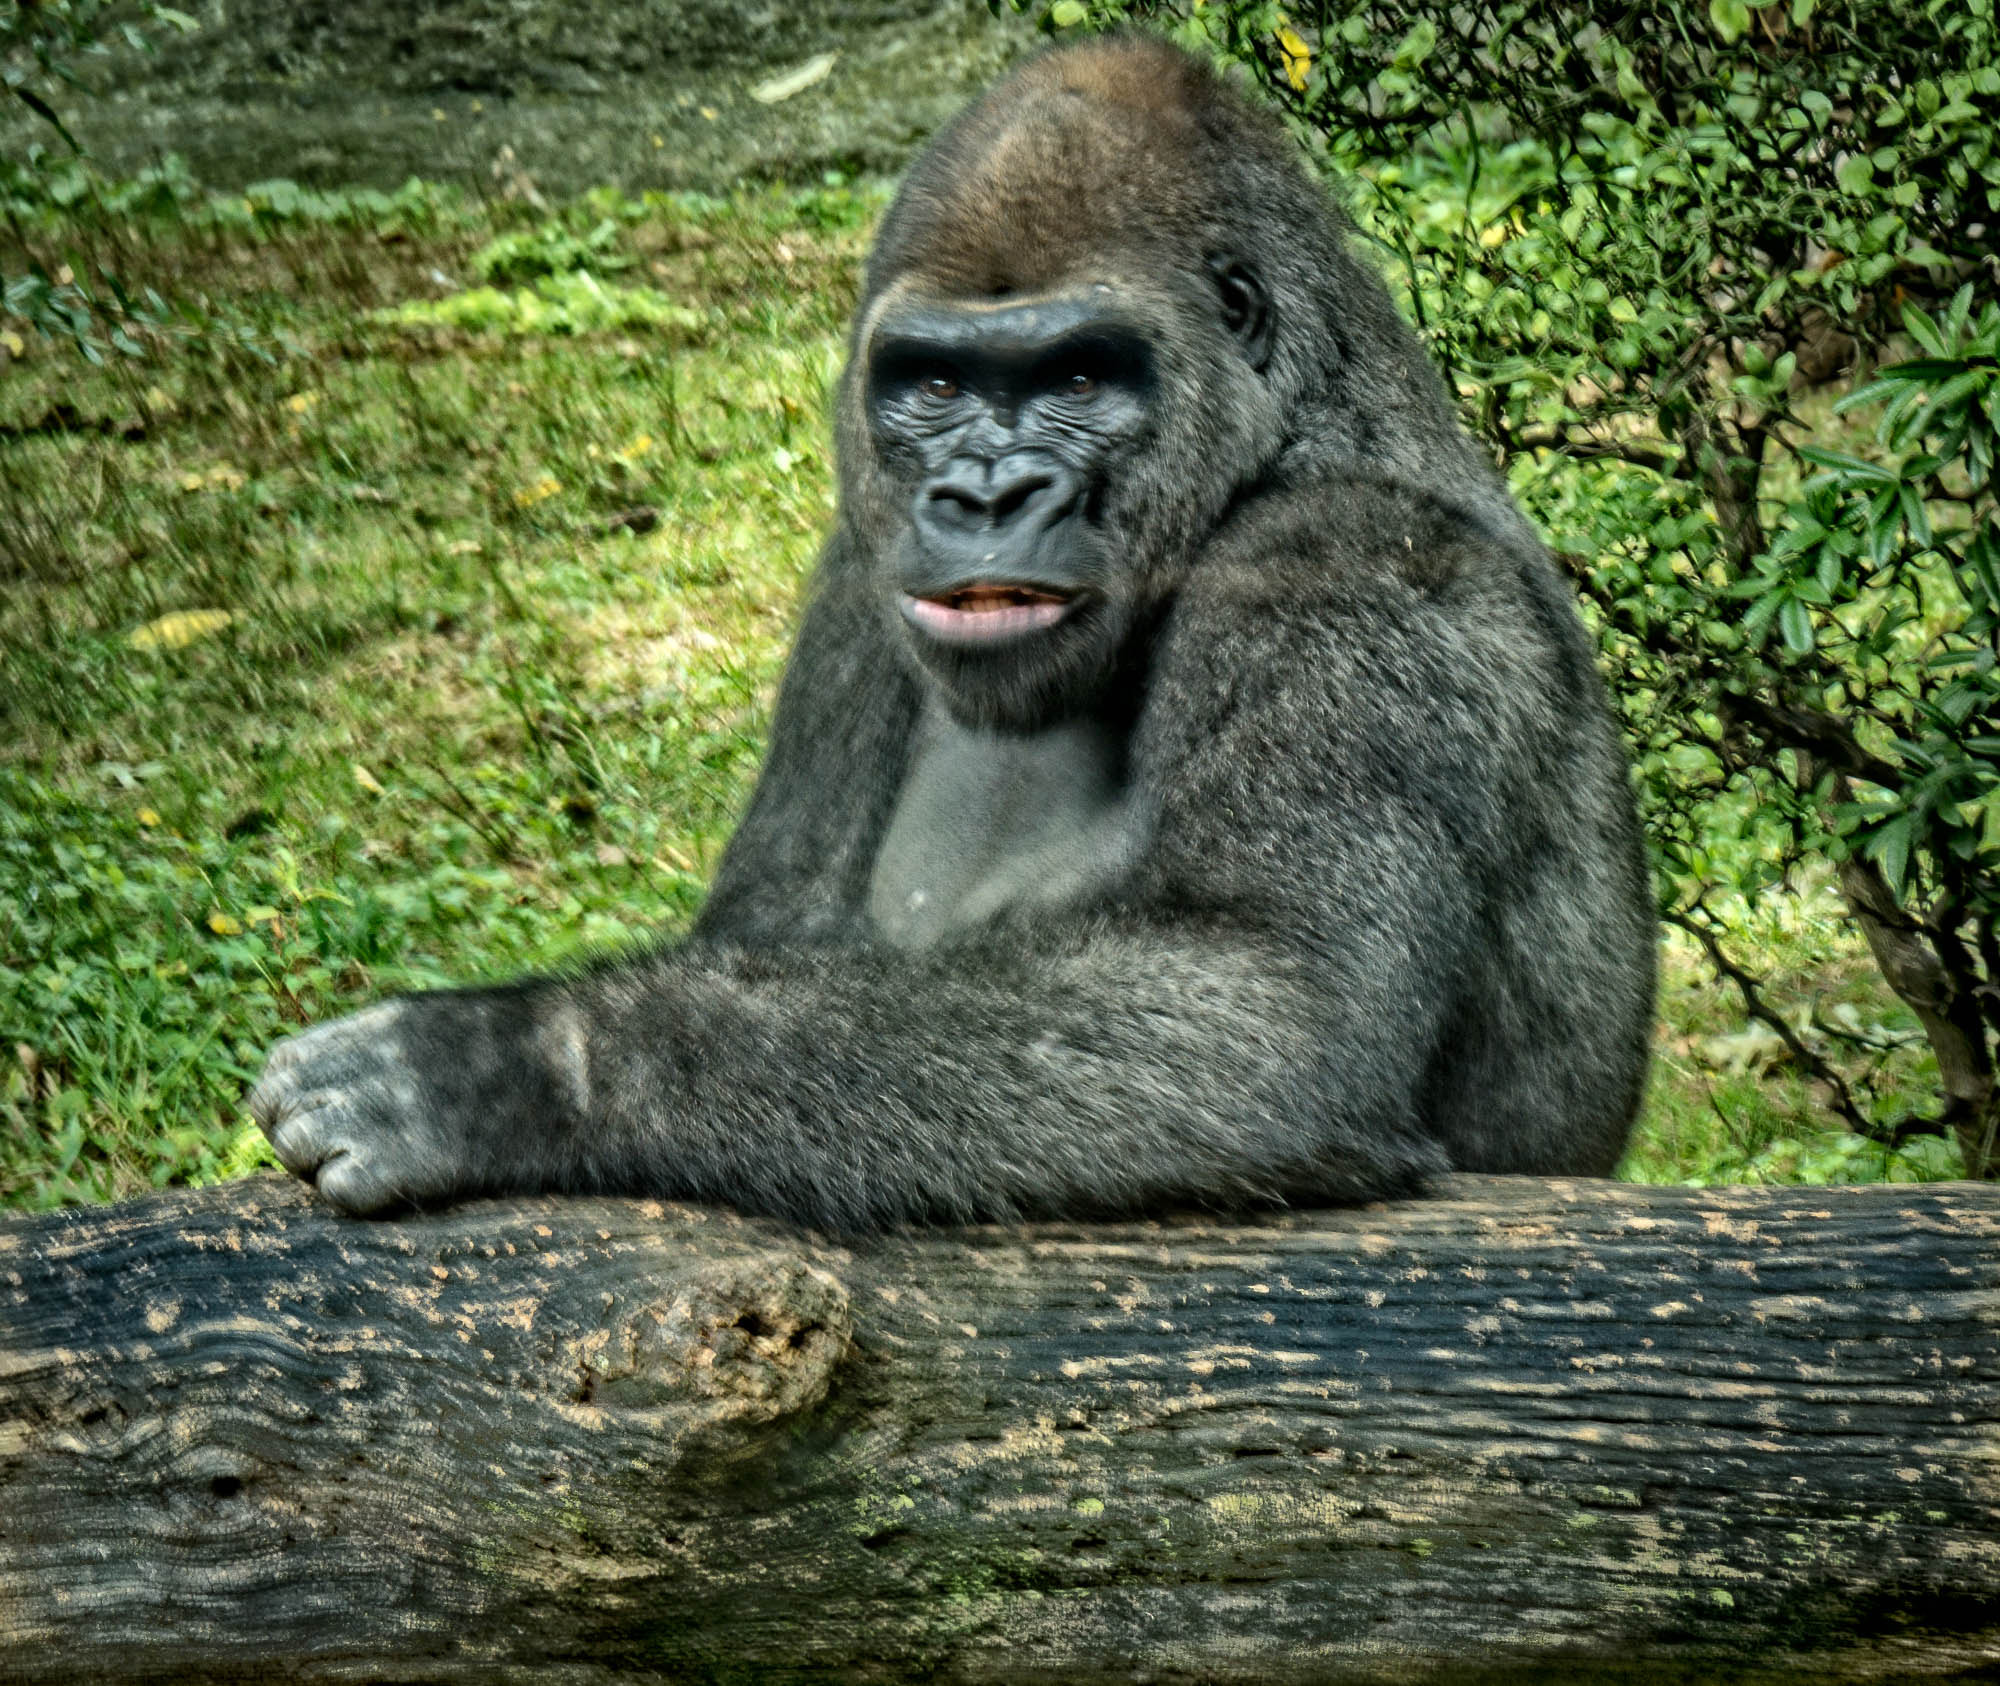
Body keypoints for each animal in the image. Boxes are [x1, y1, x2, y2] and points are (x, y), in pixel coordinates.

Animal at [249, 35, 1657, 1233]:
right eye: (932, 382)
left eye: (1080, 376)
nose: (983, 497)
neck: (1284, 427)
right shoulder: (856, 569)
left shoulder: (1355, 568)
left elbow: (1270, 1009)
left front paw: (517, 1067)